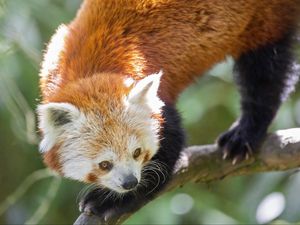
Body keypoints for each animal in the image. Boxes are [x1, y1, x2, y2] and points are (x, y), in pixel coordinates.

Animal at [37, 0, 300, 219]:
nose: (129, 182)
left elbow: (168, 153)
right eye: (104, 164)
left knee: (264, 73)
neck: (90, 72)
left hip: (262, 19)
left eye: (137, 152)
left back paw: (245, 132)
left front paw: (110, 201)